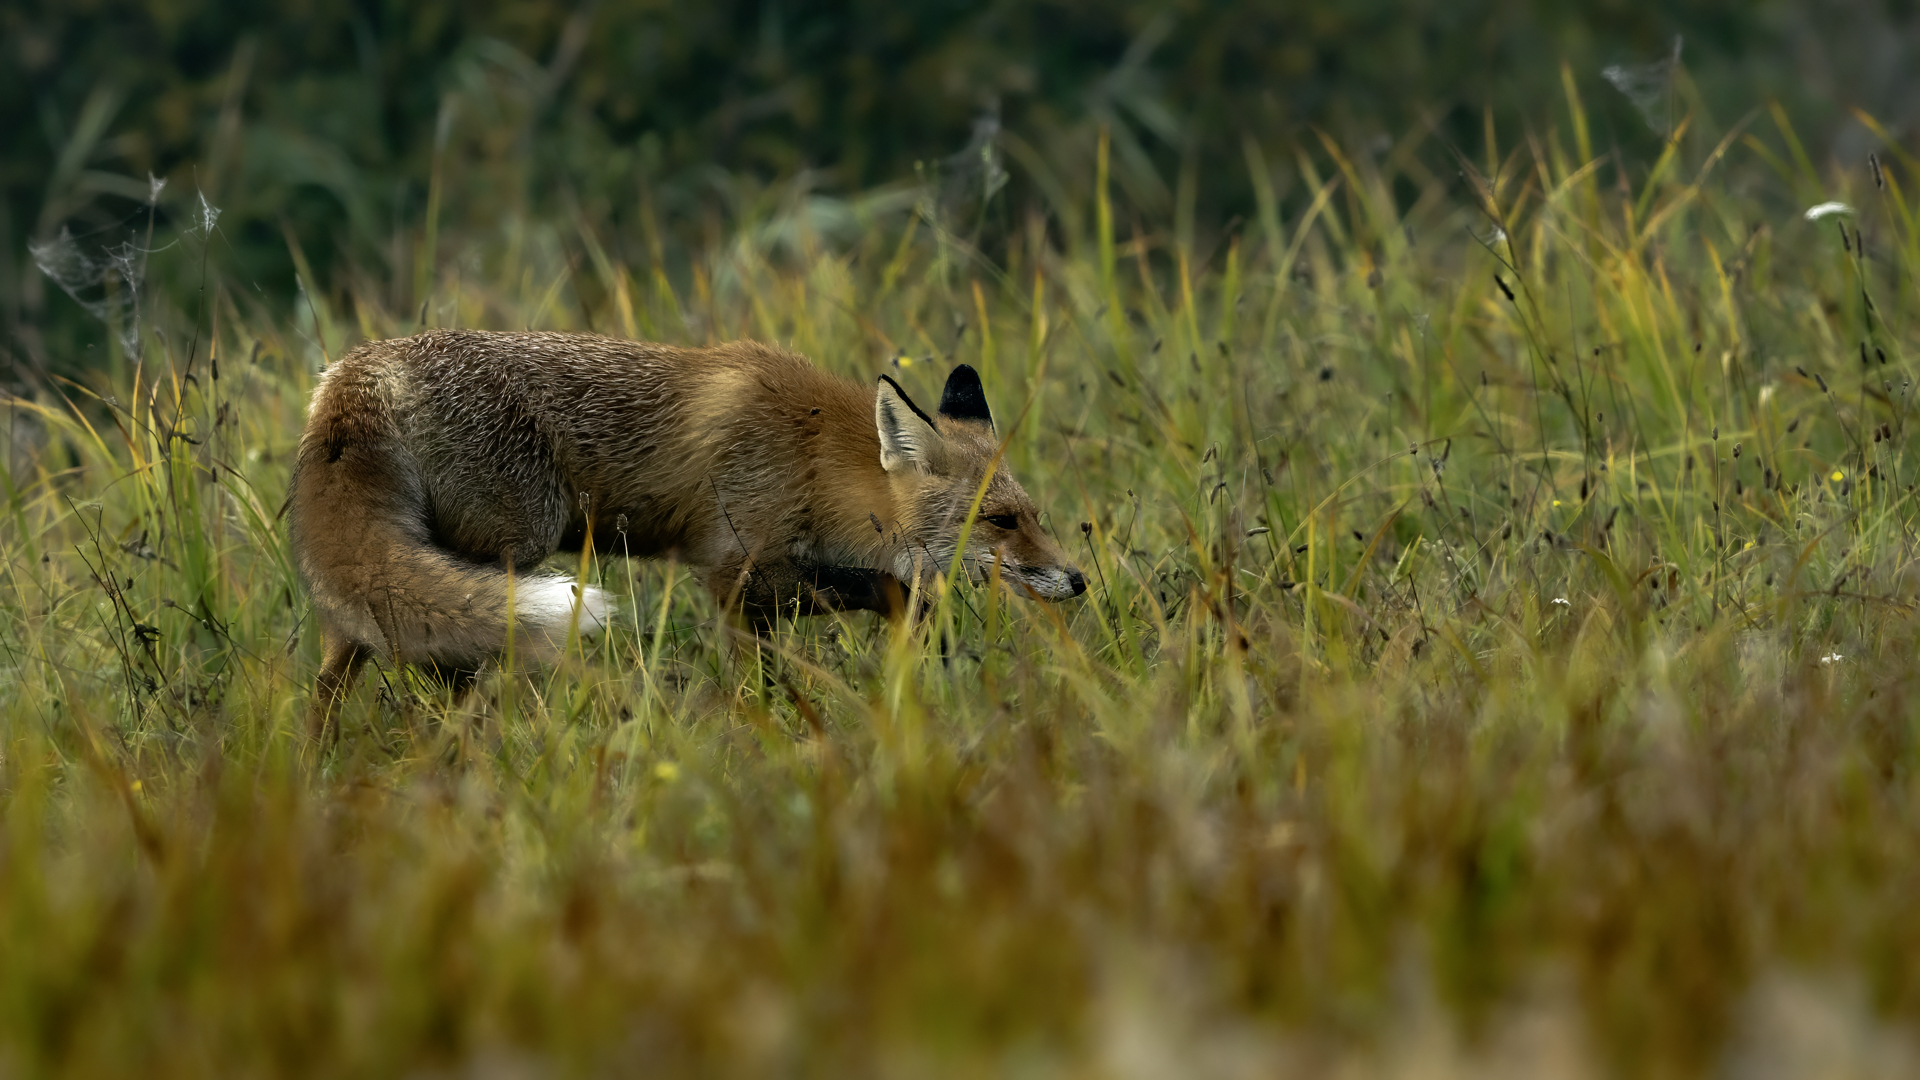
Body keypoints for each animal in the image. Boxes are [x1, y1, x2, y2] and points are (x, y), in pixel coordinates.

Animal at [287, 328, 1086, 734]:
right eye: (999, 521)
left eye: (1033, 515)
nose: (1077, 580)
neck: (814, 452)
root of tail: (358, 371)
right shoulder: (734, 572)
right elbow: (865, 599)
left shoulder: (753, 580)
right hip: (510, 554)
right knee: (451, 663)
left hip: (396, 585)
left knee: (339, 669)